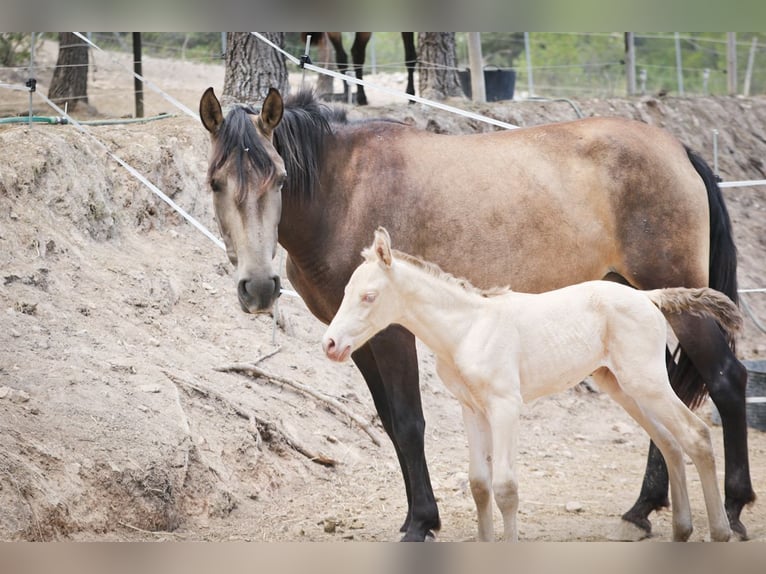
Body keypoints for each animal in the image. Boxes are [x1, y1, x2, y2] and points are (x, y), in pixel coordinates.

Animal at [320, 227, 740, 544]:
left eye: (369, 296)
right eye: (344, 293)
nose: (331, 344)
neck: (467, 329)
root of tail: (649, 297)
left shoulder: (505, 405)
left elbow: (506, 487)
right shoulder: (471, 409)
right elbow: (479, 484)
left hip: (647, 381)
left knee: (696, 435)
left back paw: (720, 531)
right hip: (625, 387)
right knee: (671, 442)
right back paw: (680, 530)